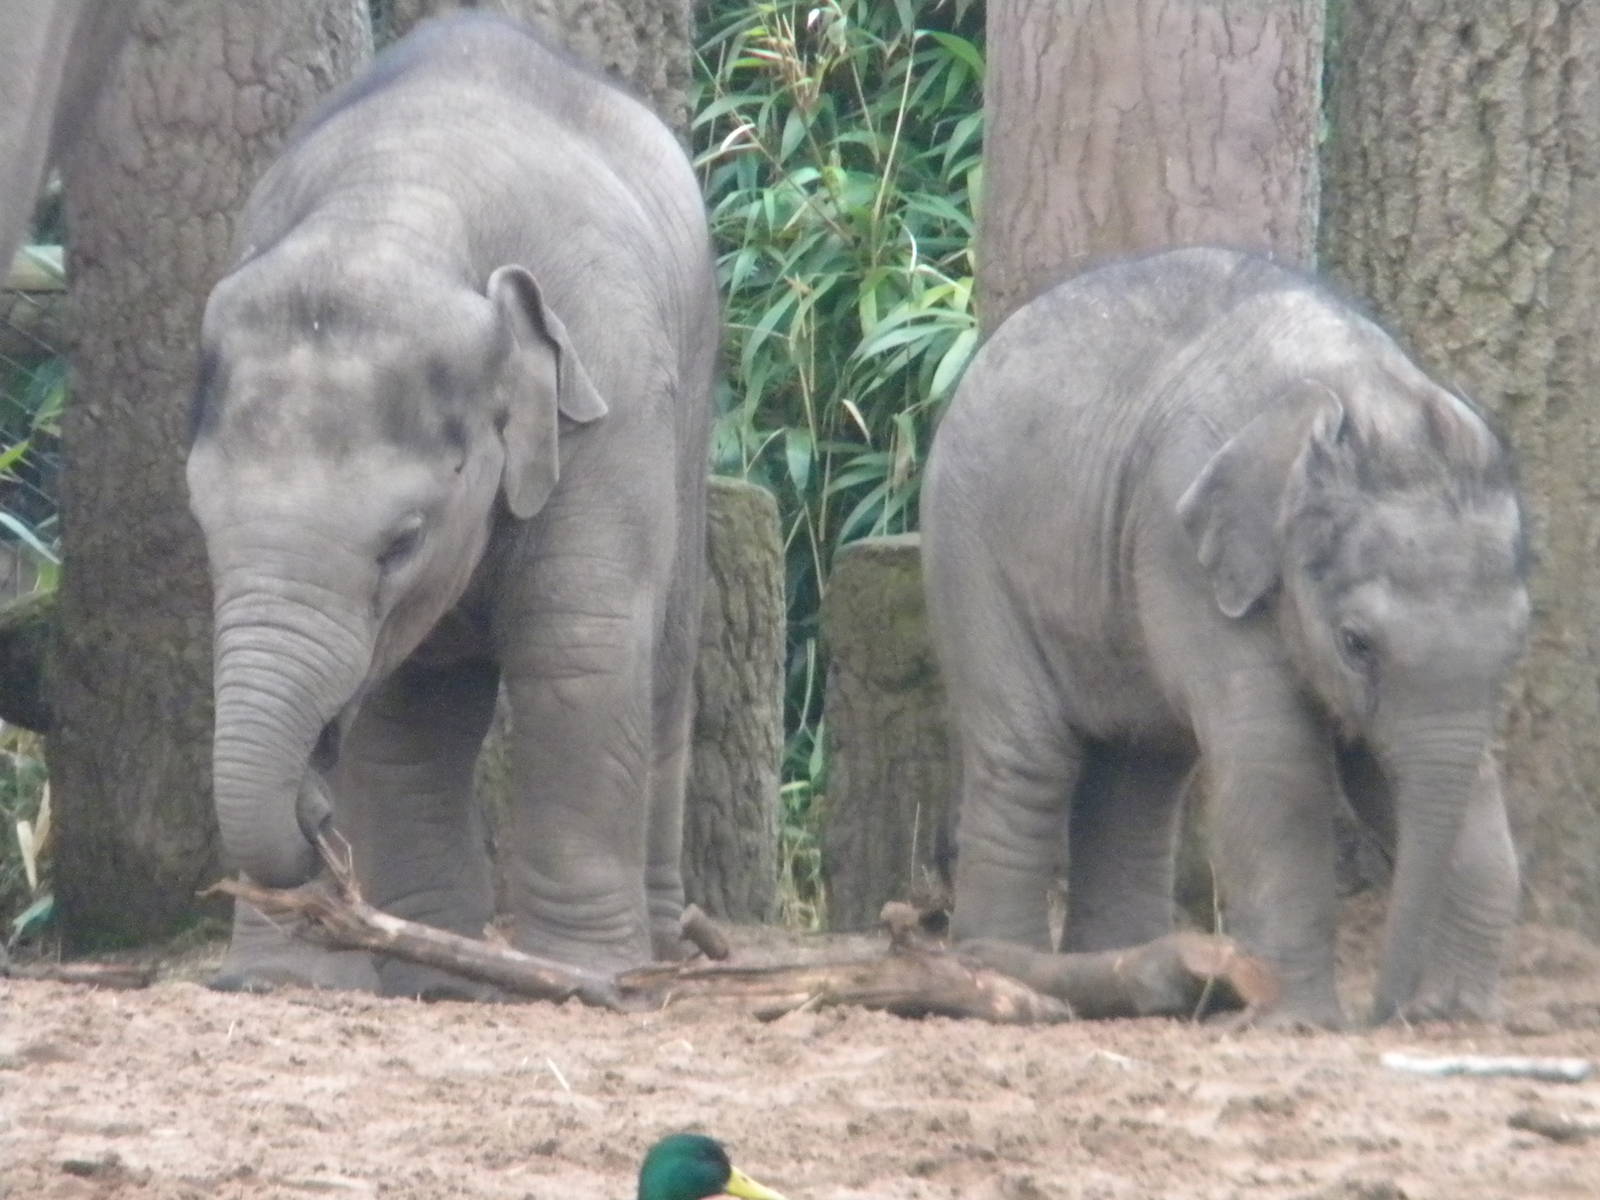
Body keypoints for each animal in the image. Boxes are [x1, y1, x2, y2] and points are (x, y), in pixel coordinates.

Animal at [184, 13, 718, 995]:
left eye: (402, 541)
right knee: (420, 701)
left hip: (695, 396)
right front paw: (295, 980)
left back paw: (655, 954)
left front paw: (587, 980)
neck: (395, 208)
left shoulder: (615, 387)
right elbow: (403, 714)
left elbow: (578, 652)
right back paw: (439, 964)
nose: (316, 804)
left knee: (662, 663)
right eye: (203, 521)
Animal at [922, 247, 1528, 1028]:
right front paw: (1302, 1023)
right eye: (1356, 643)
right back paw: (1004, 971)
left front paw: (1459, 1013)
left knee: (1138, 770)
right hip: (970, 555)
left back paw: (1121, 974)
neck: (1356, 391)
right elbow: (1275, 759)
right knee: (1031, 756)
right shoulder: (1180, 538)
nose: (1391, 1013)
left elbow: (1420, 772)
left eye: (1515, 643)